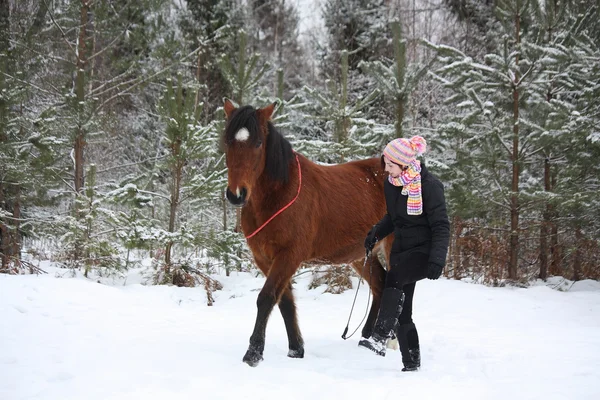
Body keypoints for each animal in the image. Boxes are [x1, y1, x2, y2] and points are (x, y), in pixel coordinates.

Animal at [223, 99, 392, 366]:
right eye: (228, 141)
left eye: (258, 143)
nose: (236, 194)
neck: (280, 195)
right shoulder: (264, 258)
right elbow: (285, 301)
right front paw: (296, 349)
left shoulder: (289, 255)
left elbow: (267, 297)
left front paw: (253, 353)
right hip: (362, 254)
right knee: (380, 284)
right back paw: (368, 338)